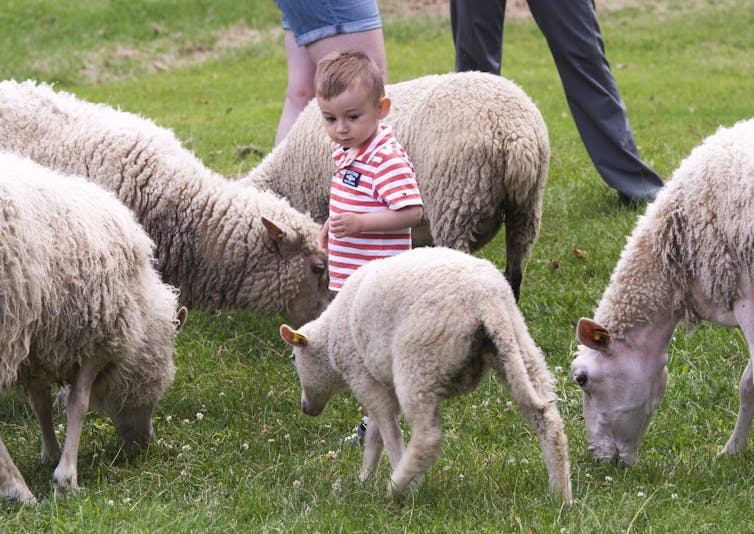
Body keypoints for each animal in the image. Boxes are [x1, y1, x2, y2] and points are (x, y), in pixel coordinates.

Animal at [0, 151, 186, 504]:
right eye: (158, 384)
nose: (146, 443)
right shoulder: (99, 337)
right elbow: (79, 403)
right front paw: (65, 477)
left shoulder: (39, 341)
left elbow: (41, 403)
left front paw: (50, 453)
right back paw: (18, 488)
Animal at [280, 246, 571, 503]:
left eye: (294, 358)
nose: (305, 408)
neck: (330, 337)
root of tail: (485, 299)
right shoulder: (382, 383)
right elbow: (374, 436)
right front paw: (364, 479)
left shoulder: (362, 376)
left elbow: (389, 433)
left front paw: (392, 477)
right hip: (517, 346)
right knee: (547, 419)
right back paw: (561, 495)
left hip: (419, 359)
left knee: (427, 438)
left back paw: (398, 488)